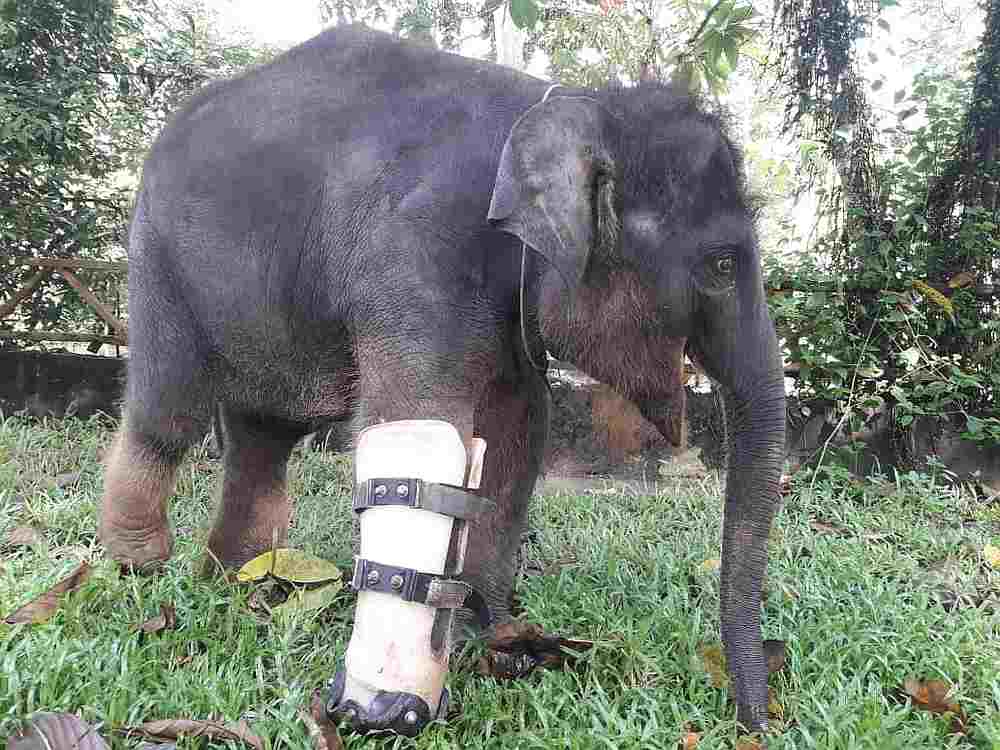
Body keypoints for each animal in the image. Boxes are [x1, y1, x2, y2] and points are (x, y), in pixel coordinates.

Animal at [98, 23, 786, 735]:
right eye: (722, 263)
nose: (755, 722)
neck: (562, 104)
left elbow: (517, 431)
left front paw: (496, 630)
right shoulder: (415, 252)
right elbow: (419, 425)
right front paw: (384, 705)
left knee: (263, 436)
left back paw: (242, 577)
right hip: (157, 259)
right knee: (168, 412)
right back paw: (137, 568)